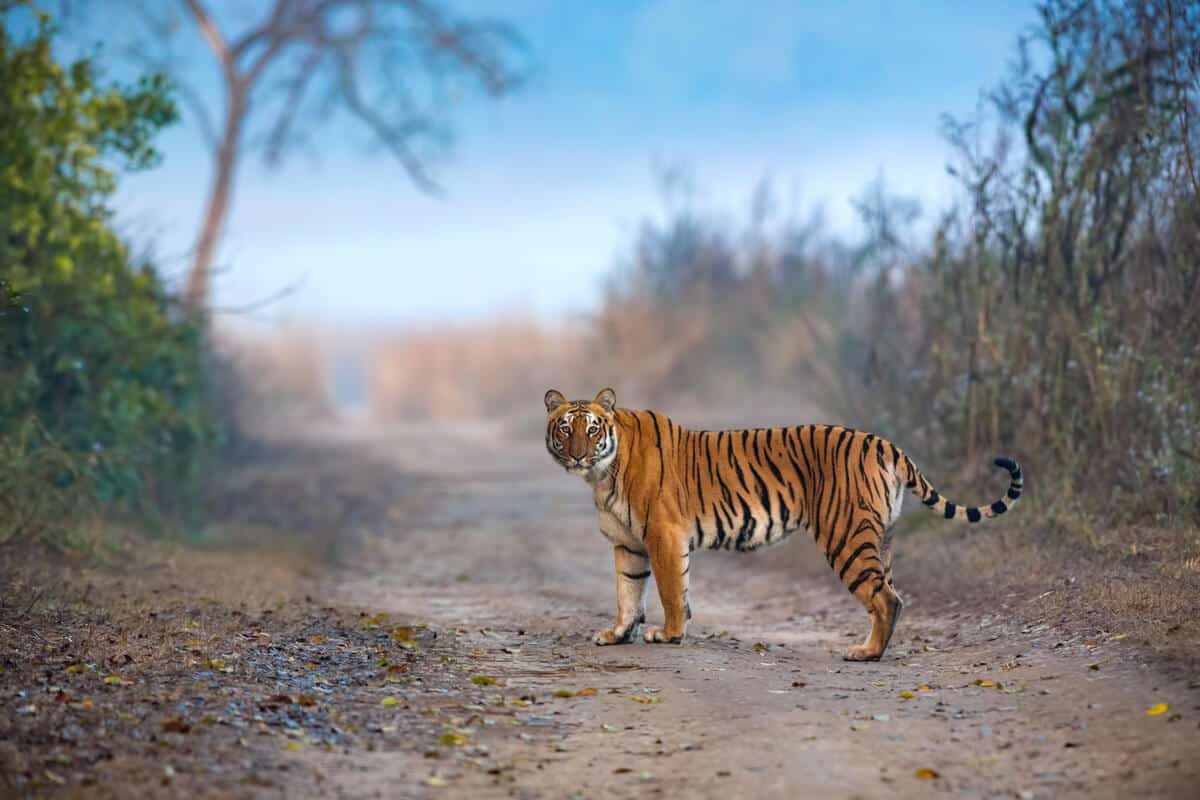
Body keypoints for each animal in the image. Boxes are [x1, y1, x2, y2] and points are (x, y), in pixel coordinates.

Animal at [543, 387, 1023, 661]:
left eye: (592, 428)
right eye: (565, 429)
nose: (578, 454)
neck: (602, 474)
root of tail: (882, 443)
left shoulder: (663, 534)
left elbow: (670, 590)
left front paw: (670, 635)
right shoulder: (629, 545)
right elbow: (628, 592)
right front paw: (617, 635)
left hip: (845, 536)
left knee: (887, 599)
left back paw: (865, 654)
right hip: (880, 538)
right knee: (891, 595)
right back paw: (875, 649)